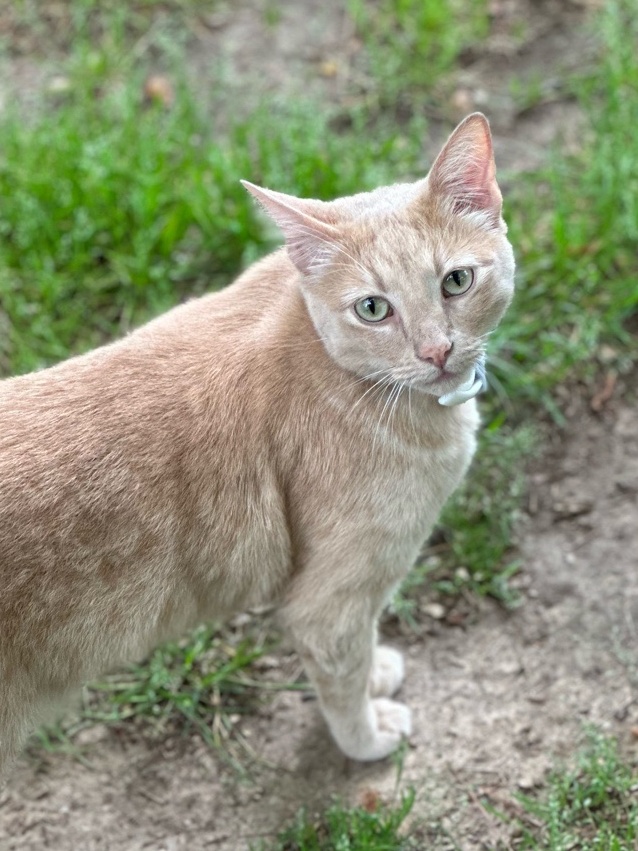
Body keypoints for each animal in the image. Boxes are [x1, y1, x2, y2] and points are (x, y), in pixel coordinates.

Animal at [0, 113, 514, 772]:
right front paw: (369, 737)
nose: (436, 351)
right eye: (374, 309)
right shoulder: (329, 603)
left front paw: (378, 674)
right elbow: (343, 675)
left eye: (456, 281)